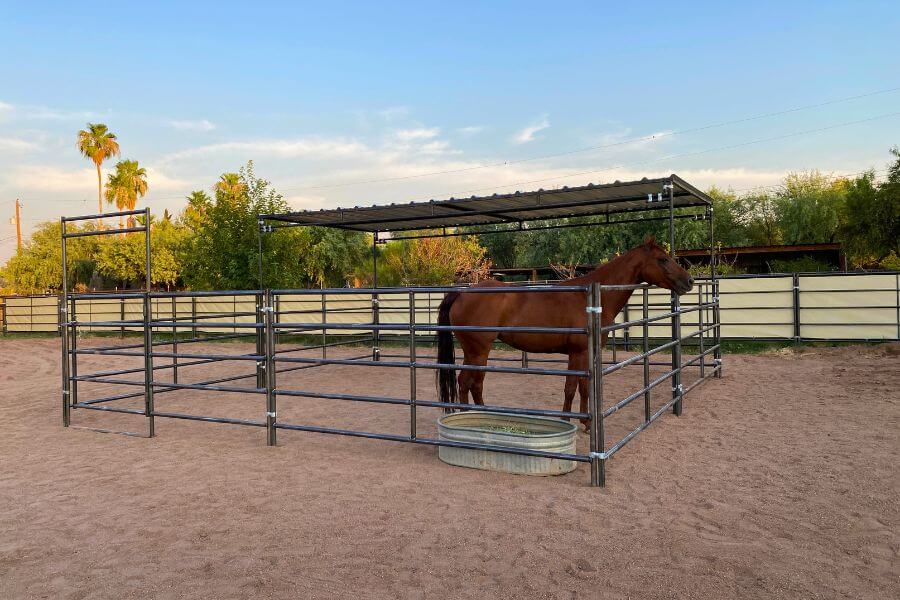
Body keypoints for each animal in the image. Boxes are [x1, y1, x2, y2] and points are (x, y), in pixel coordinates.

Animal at [435, 237, 694, 422]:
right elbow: (573, 388)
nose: (689, 281)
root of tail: (462, 293)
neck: (589, 299)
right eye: (662, 259)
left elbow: (581, 388)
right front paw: (575, 420)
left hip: (473, 352)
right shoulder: (578, 353)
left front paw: (581, 421)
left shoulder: (583, 355)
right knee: (468, 383)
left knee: (469, 384)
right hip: (479, 351)